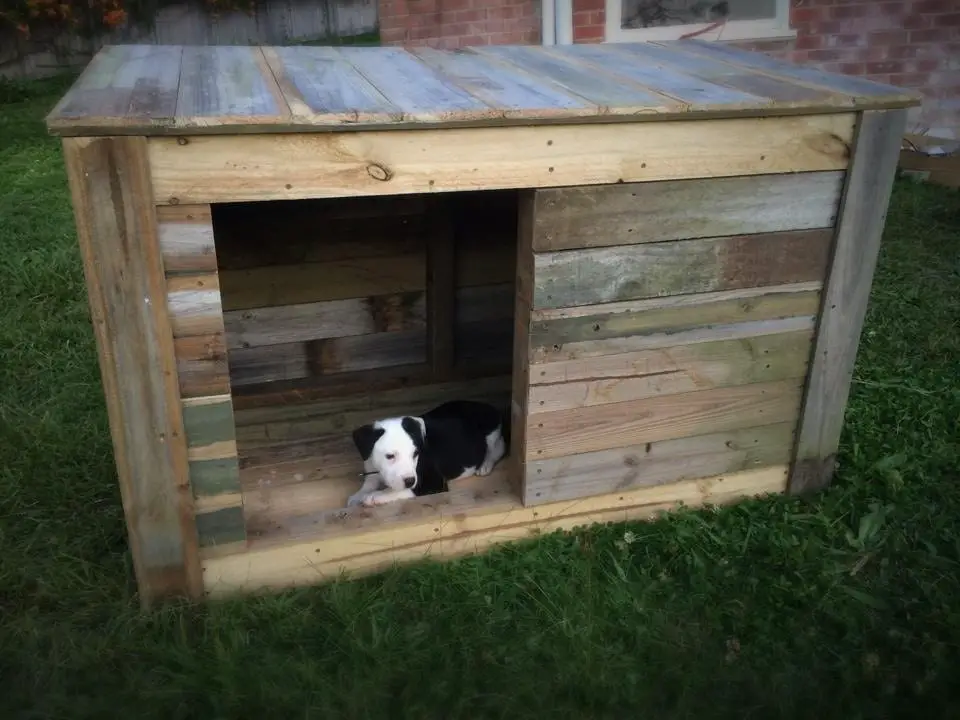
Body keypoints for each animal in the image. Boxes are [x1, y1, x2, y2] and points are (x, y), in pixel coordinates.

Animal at [346, 402, 510, 510]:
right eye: (390, 456)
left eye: (415, 454)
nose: (410, 480)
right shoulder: (371, 468)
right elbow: (369, 483)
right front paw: (358, 495)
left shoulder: (433, 482)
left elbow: (405, 490)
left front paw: (376, 496)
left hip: (490, 429)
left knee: (498, 447)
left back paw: (485, 465)